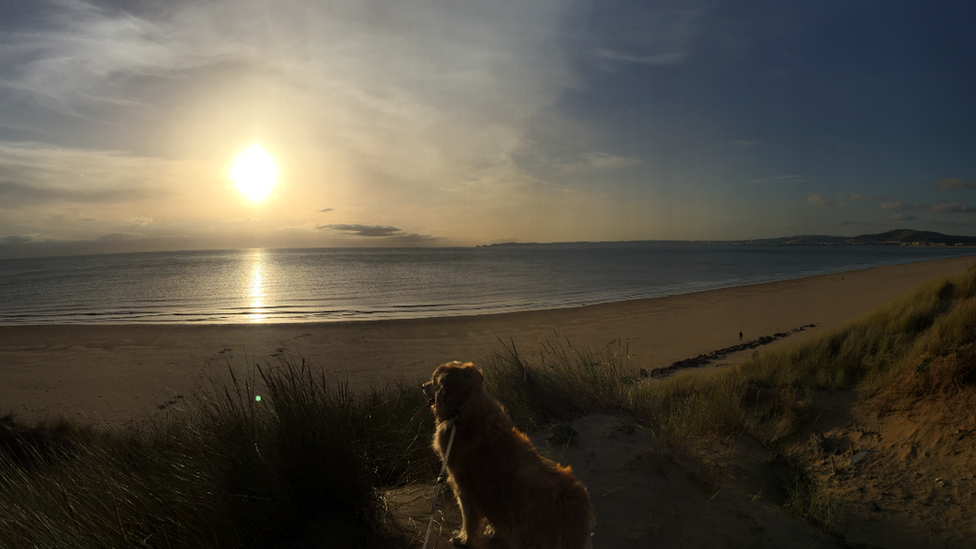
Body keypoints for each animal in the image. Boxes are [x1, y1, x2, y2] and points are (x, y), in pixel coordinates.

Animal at [422, 362, 596, 544]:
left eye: (434, 379)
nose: (422, 386)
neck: (464, 404)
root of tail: (573, 502)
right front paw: (492, 532)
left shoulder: (464, 487)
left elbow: (468, 519)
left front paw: (464, 539)